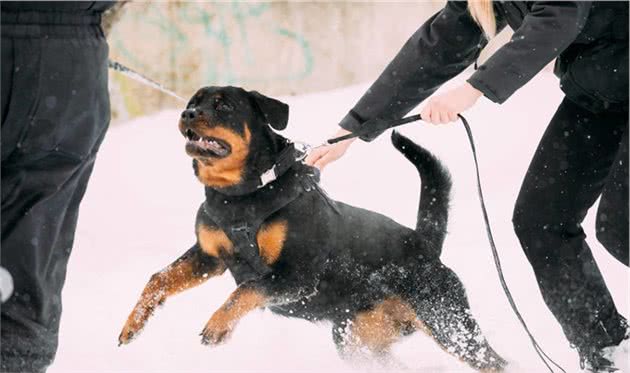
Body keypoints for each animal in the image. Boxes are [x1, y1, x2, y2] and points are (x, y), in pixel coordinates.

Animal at [118, 86, 508, 370]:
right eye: (192, 103)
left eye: (223, 105)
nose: (187, 114)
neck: (239, 196)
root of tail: (424, 242)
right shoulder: (208, 257)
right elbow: (158, 279)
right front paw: (132, 324)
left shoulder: (297, 274)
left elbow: (246, 290)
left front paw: (218, 325)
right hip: (357, 341)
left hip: (448, 322)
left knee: (495, 361)